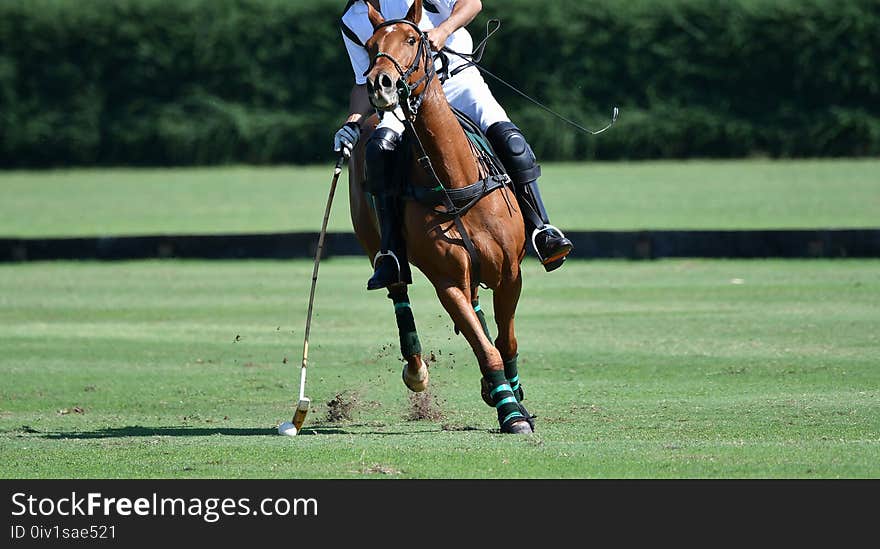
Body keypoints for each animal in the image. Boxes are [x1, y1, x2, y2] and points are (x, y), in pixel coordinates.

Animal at [348, 0, 532, 434]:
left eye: (413, 40)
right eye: (369, 45)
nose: (379, 84)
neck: (455, 180)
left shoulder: (511, 272)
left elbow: (506, 341)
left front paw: (512, 393)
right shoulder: (445, 280)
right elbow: (485, 349)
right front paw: (511, 413)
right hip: (372, 239)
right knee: (397, 288)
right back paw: (417, 370)